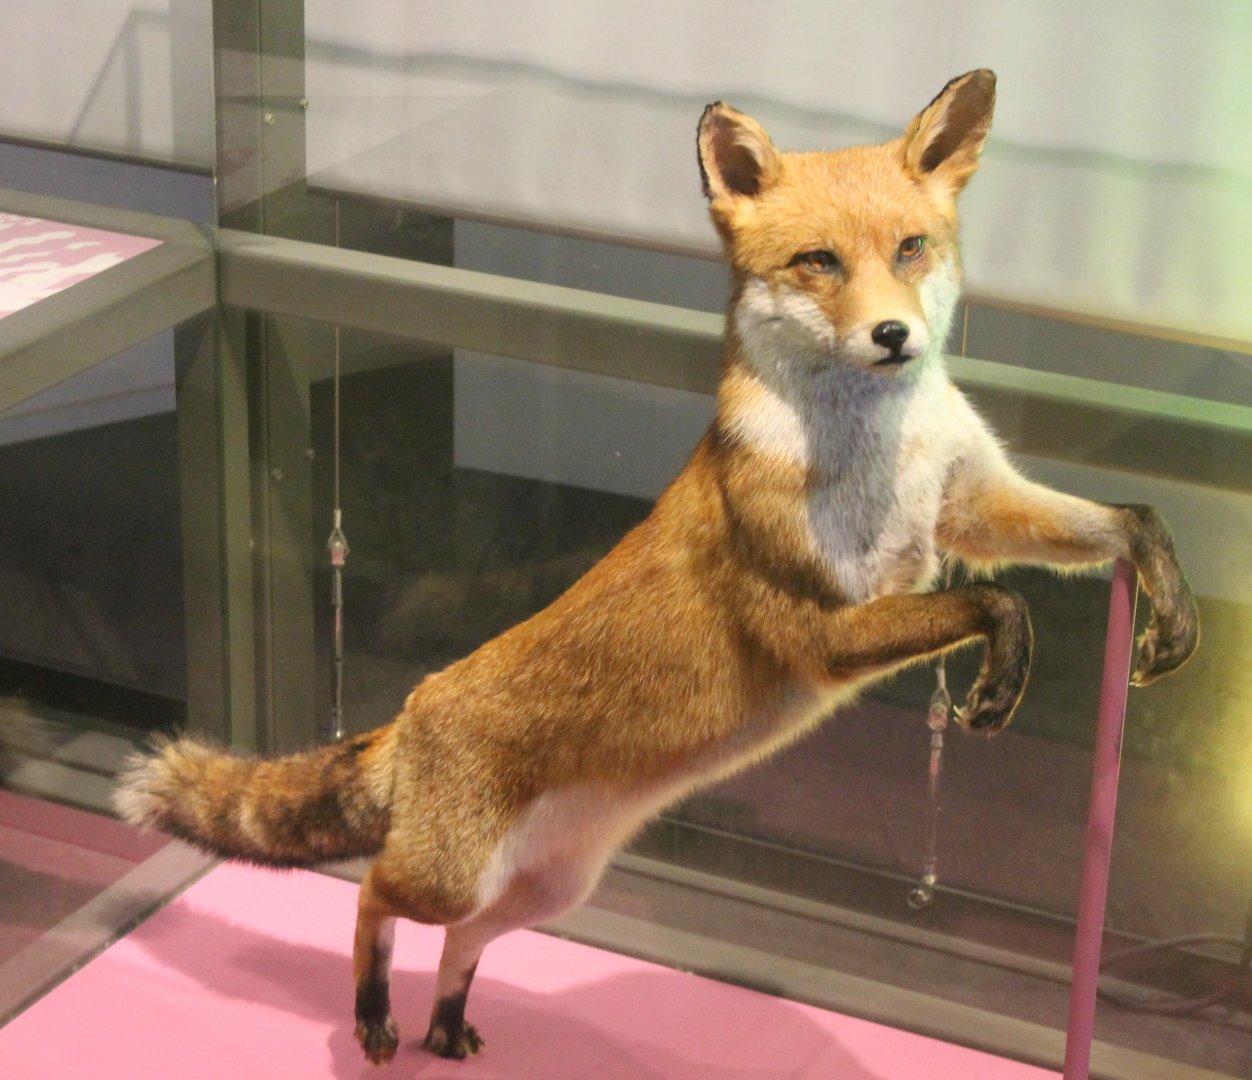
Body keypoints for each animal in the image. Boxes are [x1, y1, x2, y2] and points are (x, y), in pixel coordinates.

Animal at [115, 69, 1199, 1065]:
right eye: (818, 262)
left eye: (909, 248)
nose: (896, 336)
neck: (884, 453)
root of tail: (412, 709)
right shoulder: (819, 626)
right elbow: (999, 600)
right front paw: (1002, 679)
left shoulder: (970, 503)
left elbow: (1124, 523)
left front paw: (1169, 610)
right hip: (448, 875)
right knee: (371, 898)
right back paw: (374, 1016)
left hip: (549, 888)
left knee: (462, 942)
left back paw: (446, 1023)